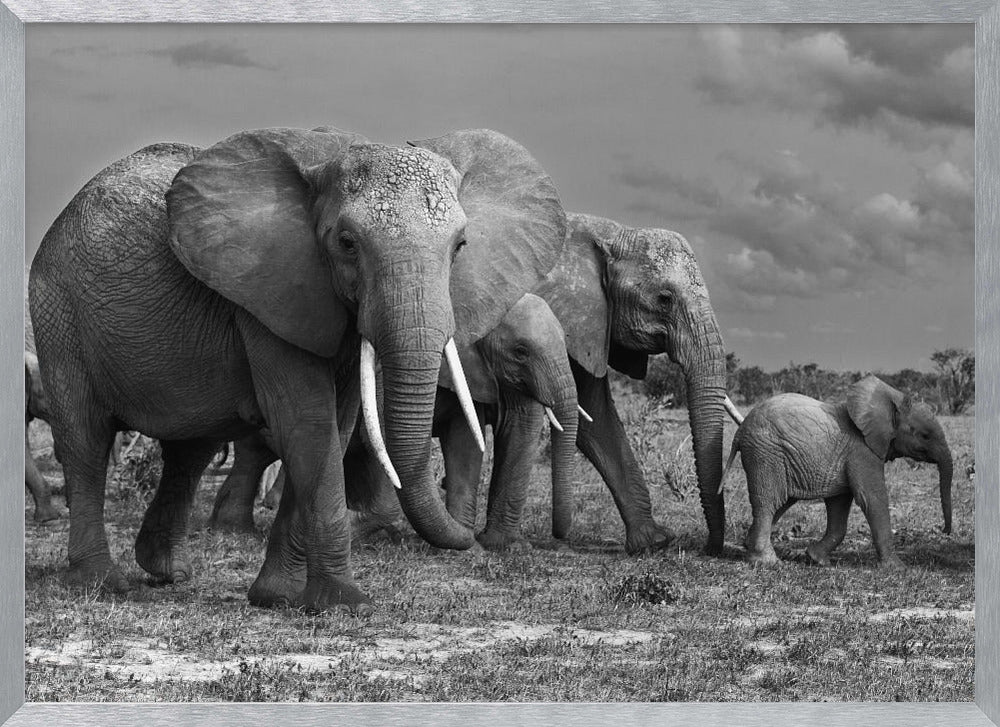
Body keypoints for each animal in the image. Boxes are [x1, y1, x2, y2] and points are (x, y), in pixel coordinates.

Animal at [28, 126, 566, 612]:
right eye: (347, 243)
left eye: (460, 246)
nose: (472, 537)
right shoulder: (269, 294)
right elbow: (307, 424)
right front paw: (345, 605)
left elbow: (337, 426)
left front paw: (278, 599)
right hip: (57, 312)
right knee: (85, 440)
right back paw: (102, 584)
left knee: (190, 450)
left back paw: (169, 573)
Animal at [535, 213, 731, 555]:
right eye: (664, 299)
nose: (709, 548)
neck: (608, 234)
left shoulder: (588, 322)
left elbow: (595, 418)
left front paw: (654, 542)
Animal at [719, 375, 954, 568]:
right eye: (925, 435)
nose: (944, 531)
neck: (890, 400)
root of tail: (740, 432)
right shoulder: (862, 451)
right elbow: (872, 498)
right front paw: (898, 568)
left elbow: (839, 505)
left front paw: (817, 559)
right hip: (765, 454)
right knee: (768, 501)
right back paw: (767, 562)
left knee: (782, 501)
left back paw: (749, 546)